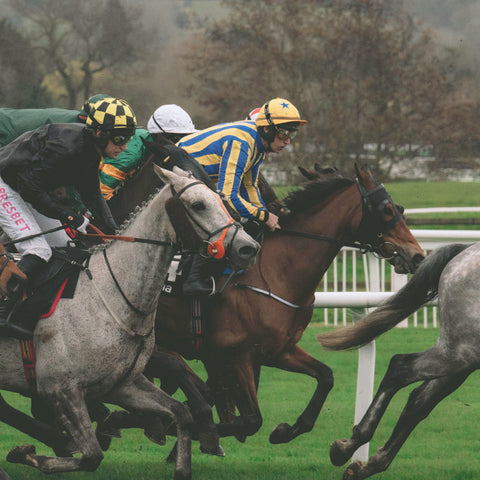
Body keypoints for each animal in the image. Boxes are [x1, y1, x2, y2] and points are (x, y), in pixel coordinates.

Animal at [0, 166, 258, 480]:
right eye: (198, 205)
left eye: (220, 199)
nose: (248, 248)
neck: (112, 294)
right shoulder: (60, 388)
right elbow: (91, 456)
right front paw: (26, 454)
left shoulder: (124, 385)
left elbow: (182, 414)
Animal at [316, 244, 478, 480]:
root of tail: (465, 250)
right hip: (461, 349)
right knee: (400, 368)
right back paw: (350, 447)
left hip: (463, 355)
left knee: (419, 401)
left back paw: (365, 463)